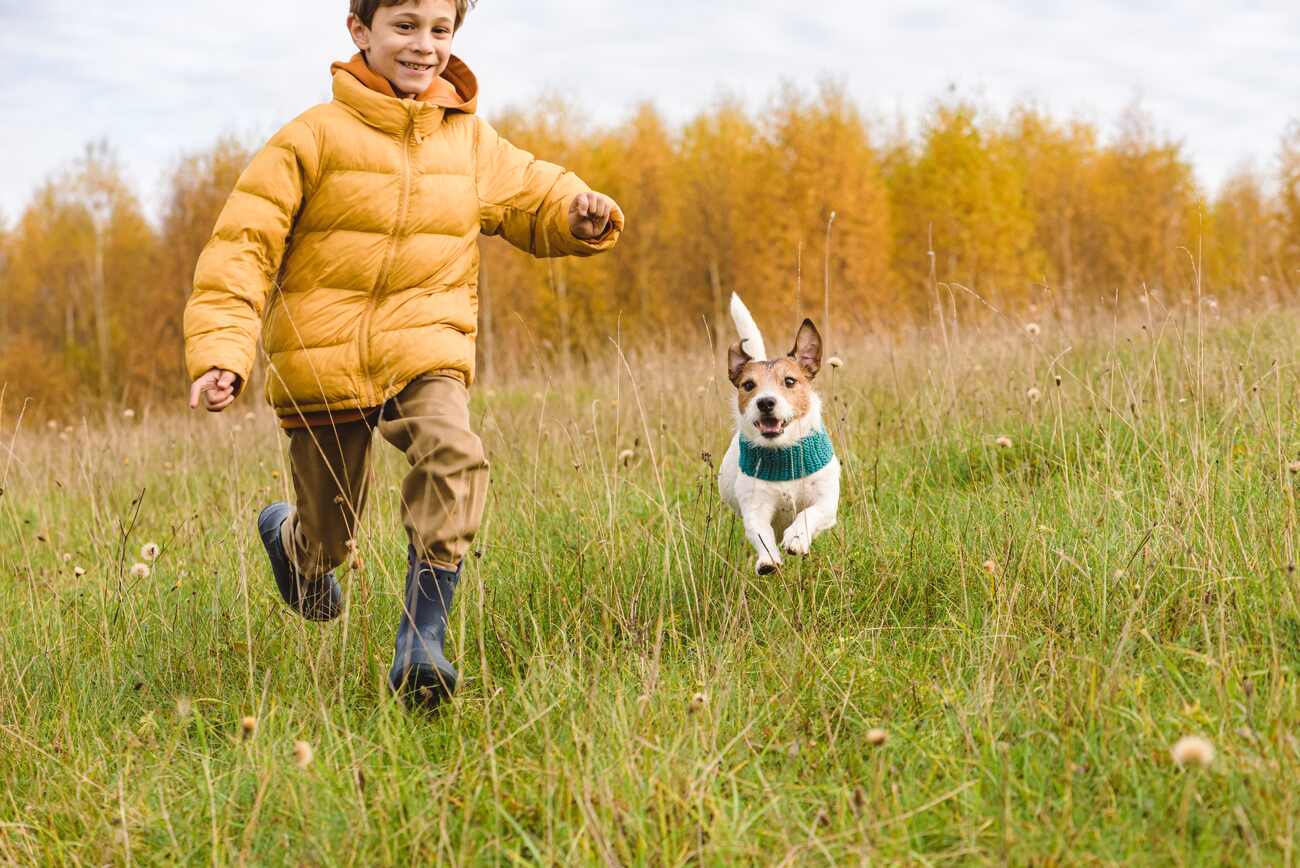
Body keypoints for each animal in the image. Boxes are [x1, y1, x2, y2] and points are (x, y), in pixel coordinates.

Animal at [717, 293, 837, 576]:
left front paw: (796, 537)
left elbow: (808, 514)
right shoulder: (755, 507)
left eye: (790, 381)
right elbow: (760, 533)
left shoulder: (827, 502)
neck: (784, 452)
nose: (765, 402)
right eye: (748, 385)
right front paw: (768, 559)